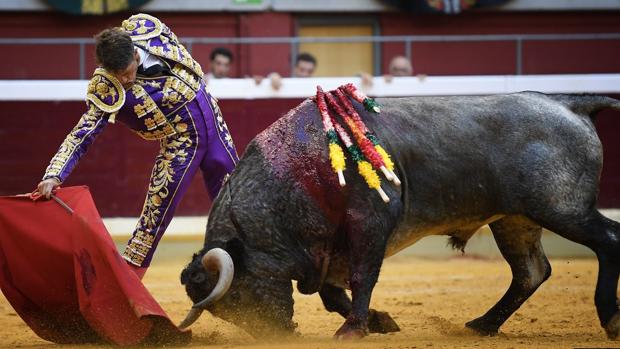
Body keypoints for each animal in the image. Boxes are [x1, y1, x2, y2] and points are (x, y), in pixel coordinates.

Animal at [177, 92, 620, 340]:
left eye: (238, 295)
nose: (279, 335)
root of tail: (569, 103)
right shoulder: (328, 247)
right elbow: (332, 294)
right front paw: (379, 321)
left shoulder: (370, 222)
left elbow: (361, 278)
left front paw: (353, 330)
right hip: (515, 219)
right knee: (531, 271)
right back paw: (482, 325)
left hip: (562, 209)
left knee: (609, 241)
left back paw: (610, 319)